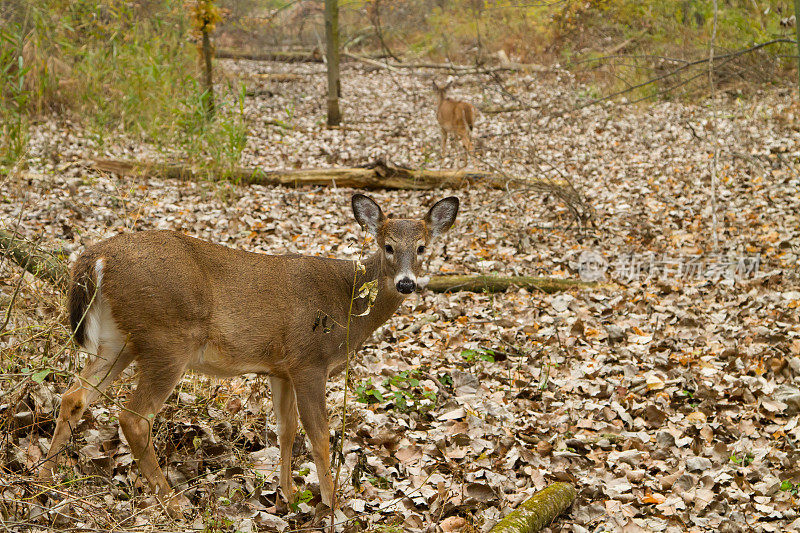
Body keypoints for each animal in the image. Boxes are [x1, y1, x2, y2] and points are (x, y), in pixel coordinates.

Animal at [37, 194, 460, 516]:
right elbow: (320, 435)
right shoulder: (309, 361)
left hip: (119, 341)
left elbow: (286, 430)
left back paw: (44, 482)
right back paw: (174, 503)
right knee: (134, 417)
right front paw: (332, 505)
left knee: (73, 397)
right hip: (168, 338)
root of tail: (95, 257)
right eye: (387, 246)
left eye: (422, 248)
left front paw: (288, 496)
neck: (348, 302)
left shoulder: (281, 368)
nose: (406, 283)